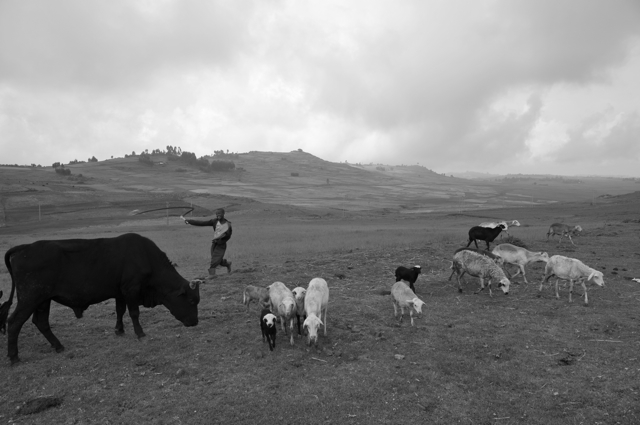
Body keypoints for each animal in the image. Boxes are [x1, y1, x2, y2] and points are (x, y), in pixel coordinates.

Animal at [1, 232, 200, 364]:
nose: (195, 322)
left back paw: (58, 346)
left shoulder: (120, 292)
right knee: (14, 322)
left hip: (43, 300)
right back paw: (14, 357)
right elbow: (134, 313)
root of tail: (24, 248)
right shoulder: (131, 289)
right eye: (191, 301)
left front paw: (119, 330)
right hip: (30, 299)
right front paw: (140, 333)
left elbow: (120, 311)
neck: (144, 255)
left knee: (41, 322)